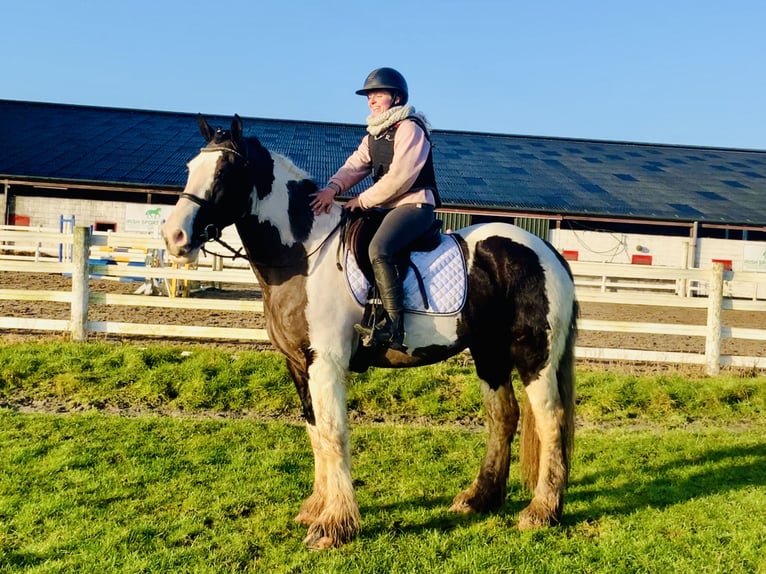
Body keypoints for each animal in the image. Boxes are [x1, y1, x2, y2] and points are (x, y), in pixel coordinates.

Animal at [164, 115, 584, 552]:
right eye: (191, 168)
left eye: (226, 172)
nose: (174, 237)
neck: (304, 256)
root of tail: (548, 253)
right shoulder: (298, 364)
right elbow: (315, 431)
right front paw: (316, 508)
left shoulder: (326, 363)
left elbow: (333, 433)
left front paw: (335, 525)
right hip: (489, 353)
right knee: (503, 416)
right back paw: (479, 498)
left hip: (534, 355)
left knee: (551, 419)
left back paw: (542, 511)